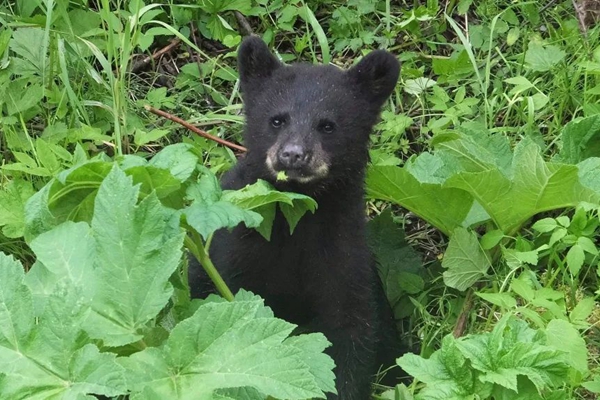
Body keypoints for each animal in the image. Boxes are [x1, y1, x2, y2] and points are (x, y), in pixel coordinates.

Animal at [190, 36, 400, 398]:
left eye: (327, 125)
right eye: (277, 119)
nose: (293, 155)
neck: (296, 216)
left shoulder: (343, 254)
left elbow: (351, 330)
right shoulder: (234, 252)